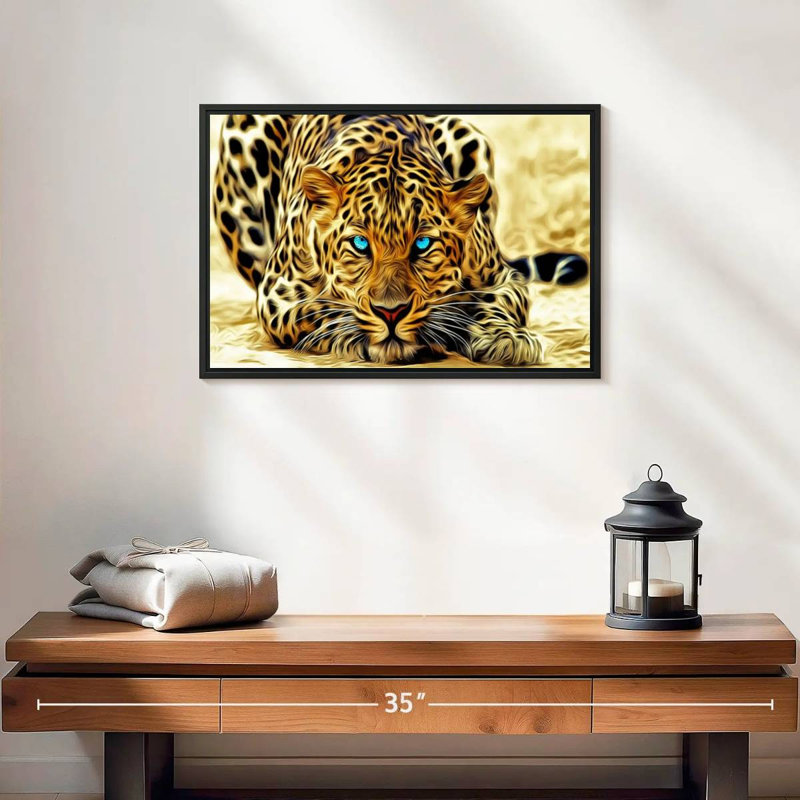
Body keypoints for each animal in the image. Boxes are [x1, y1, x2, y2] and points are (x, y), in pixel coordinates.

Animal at [212, 112, 588, 365]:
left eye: (422, 244)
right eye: (360, 244)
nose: (390, 313)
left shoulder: (502, 277)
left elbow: (496, 301)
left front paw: (506, 337)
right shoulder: (277, 293)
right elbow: (321, 308)